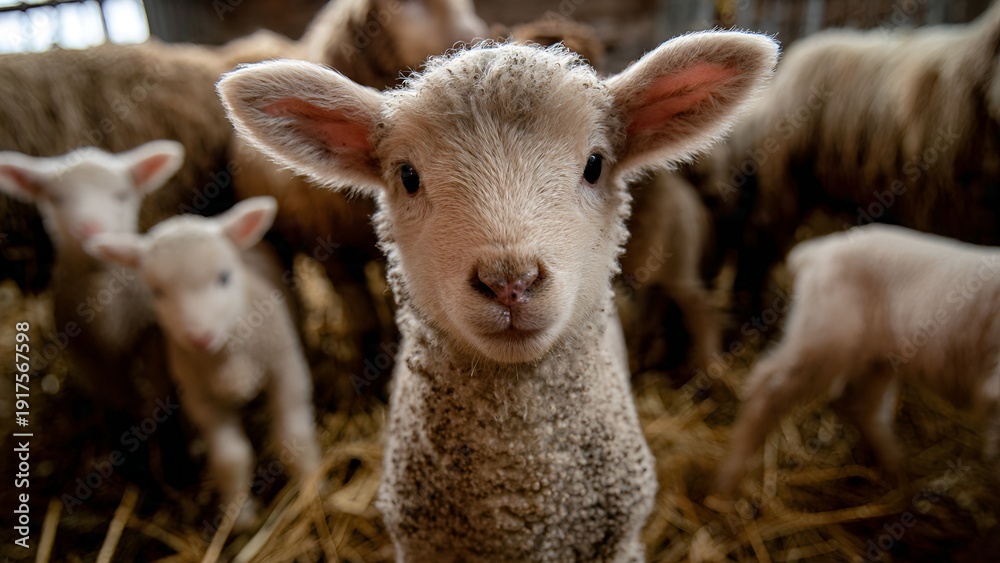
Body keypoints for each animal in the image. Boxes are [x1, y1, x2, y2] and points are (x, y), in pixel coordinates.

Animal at [0, 141, 191, 482]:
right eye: (57, 198)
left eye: (121, 194)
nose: (91, 229)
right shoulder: (90, 356)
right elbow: (119, 408)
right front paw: (136, 469)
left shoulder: (152, 339)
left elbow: (163, 400)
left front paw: (178, 467)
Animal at [86, 196, 321, 531]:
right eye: (158, 291)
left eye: (224, 277)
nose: (199, 337)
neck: (228, 357)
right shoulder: (200, 398)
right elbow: (230, 458)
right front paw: (239, 518)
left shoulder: (286, 368)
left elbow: (293, 435)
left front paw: (312, 489)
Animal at [715, 223, 1000, 498]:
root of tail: (816, 251)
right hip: (826, 334)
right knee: (767, 385)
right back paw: (726, 486)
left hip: (878, 355)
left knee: (858, 404)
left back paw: (897, 474)